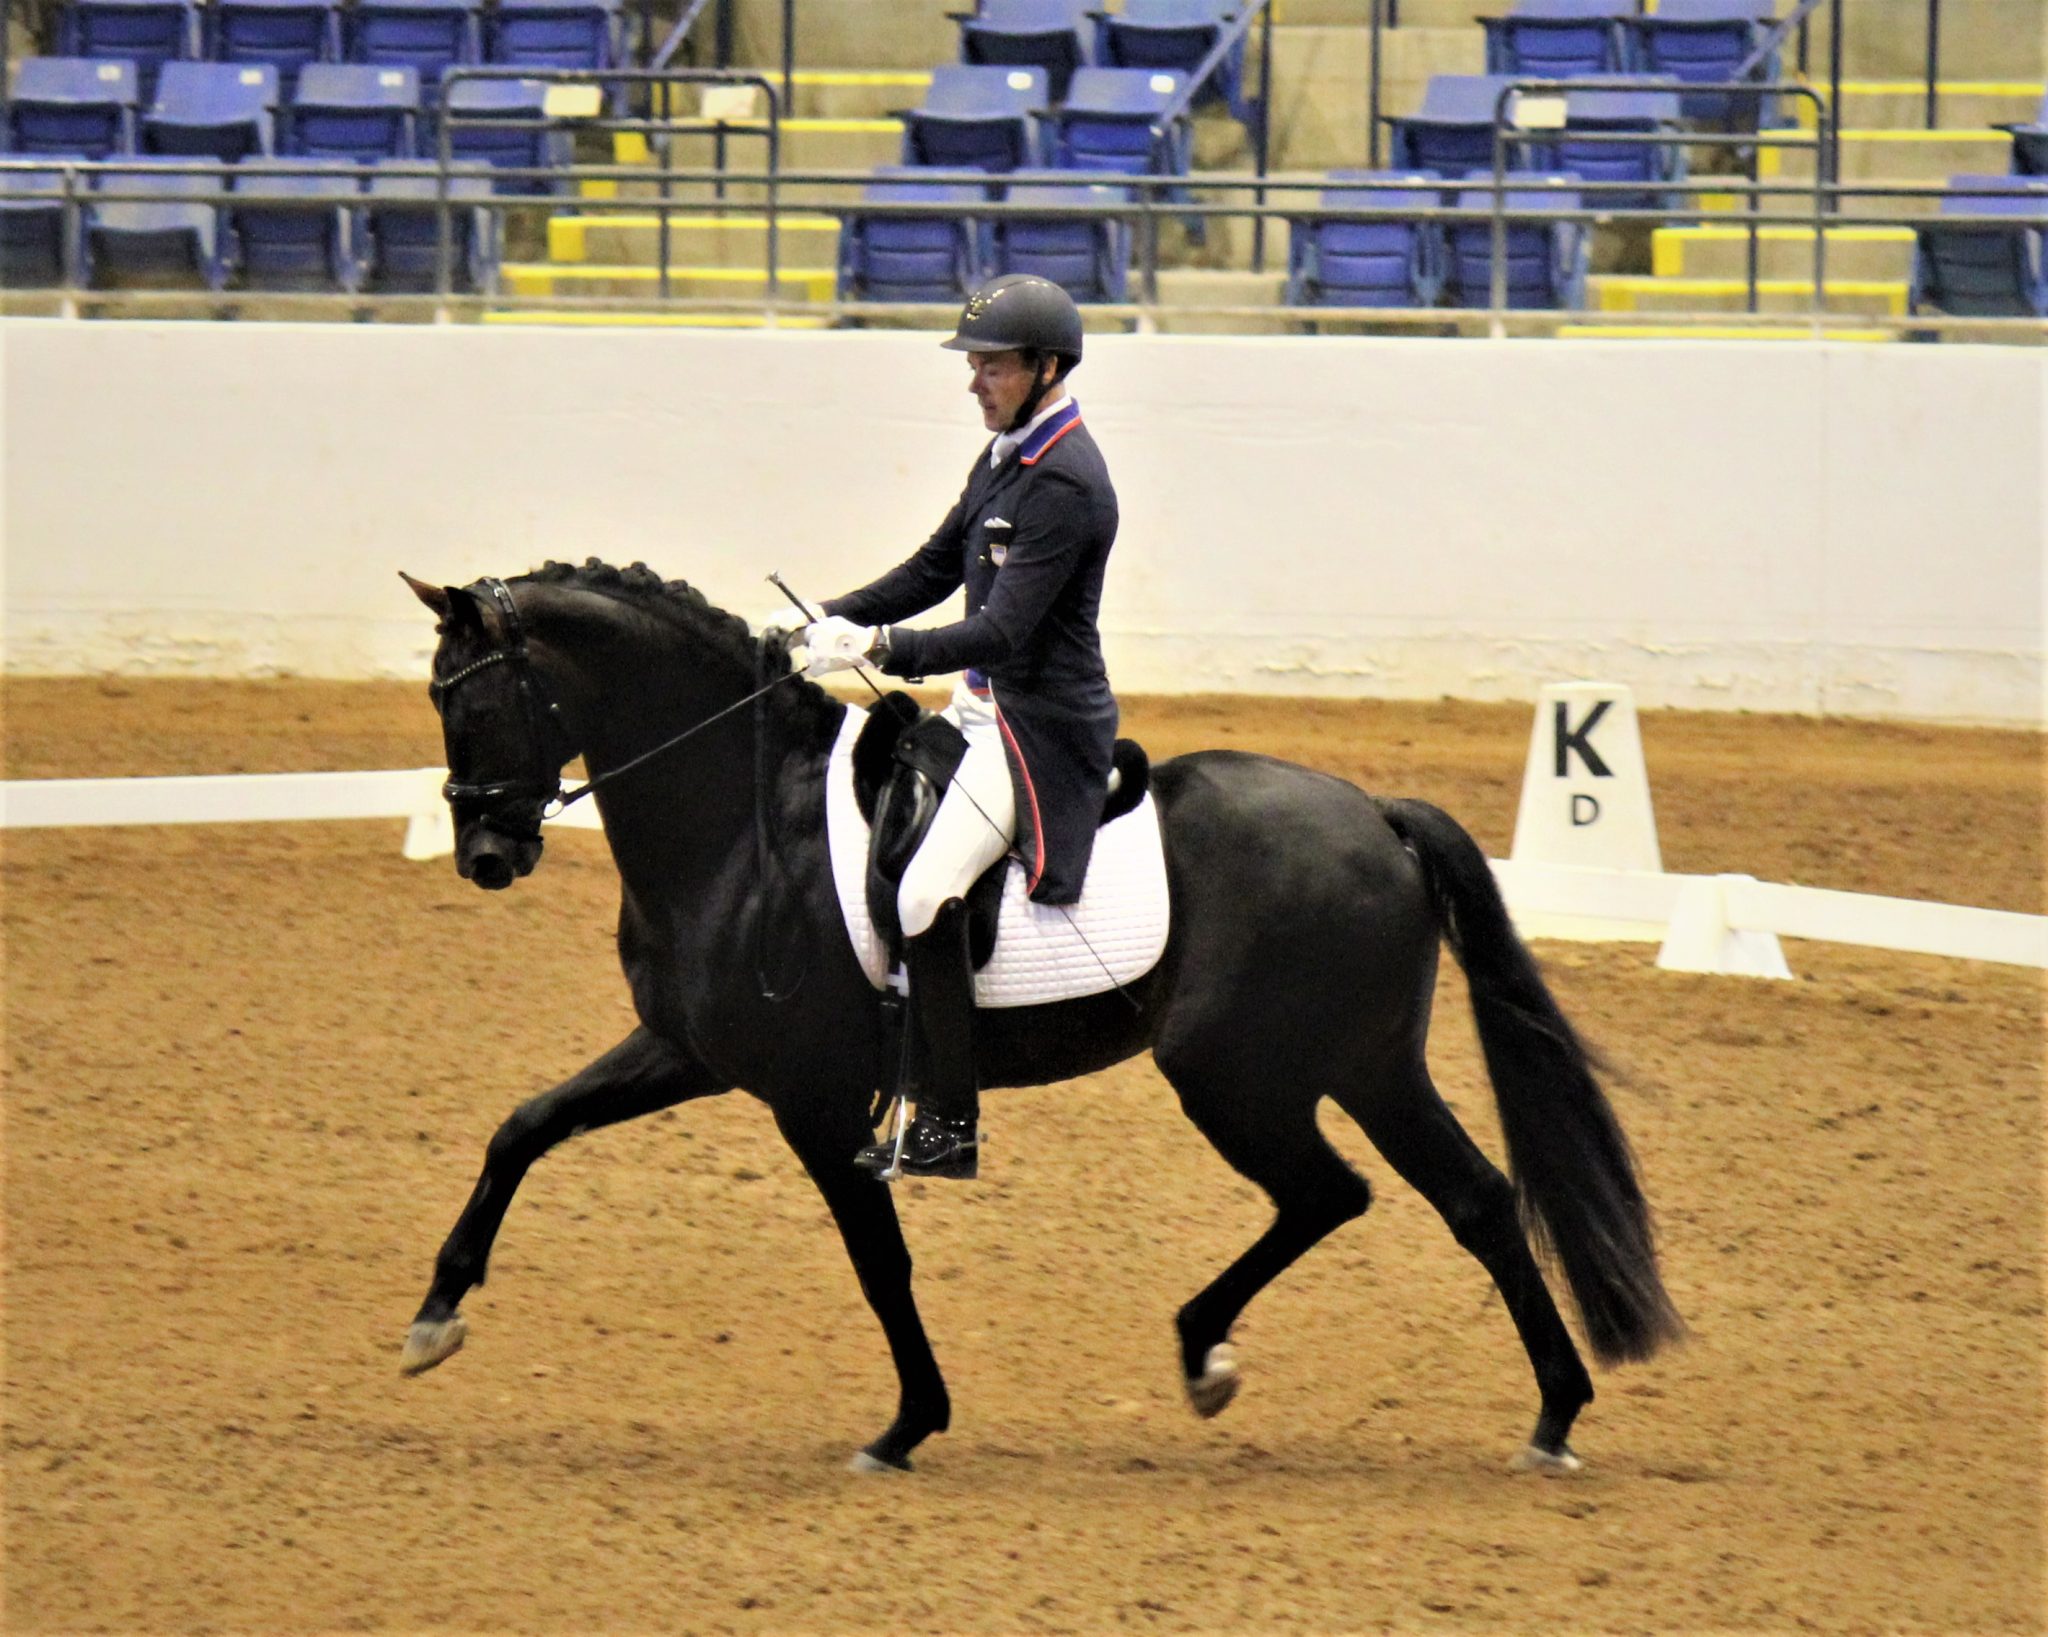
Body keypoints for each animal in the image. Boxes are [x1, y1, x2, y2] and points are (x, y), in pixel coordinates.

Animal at [399, 561, 1679, 1475]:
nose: (485, 856)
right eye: (436, 699)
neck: (749, 822)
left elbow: (881, 1259)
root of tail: (1373, 812)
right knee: (1461, 1198)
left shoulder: (813, 1099)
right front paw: (433, 1316)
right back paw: (1539, 1409)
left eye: (479, 700)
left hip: (1242, 1072)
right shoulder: (688, 1051)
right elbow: (523, 1126)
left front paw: (906, 1424)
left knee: (1345, 1191)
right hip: (1357, 1066)